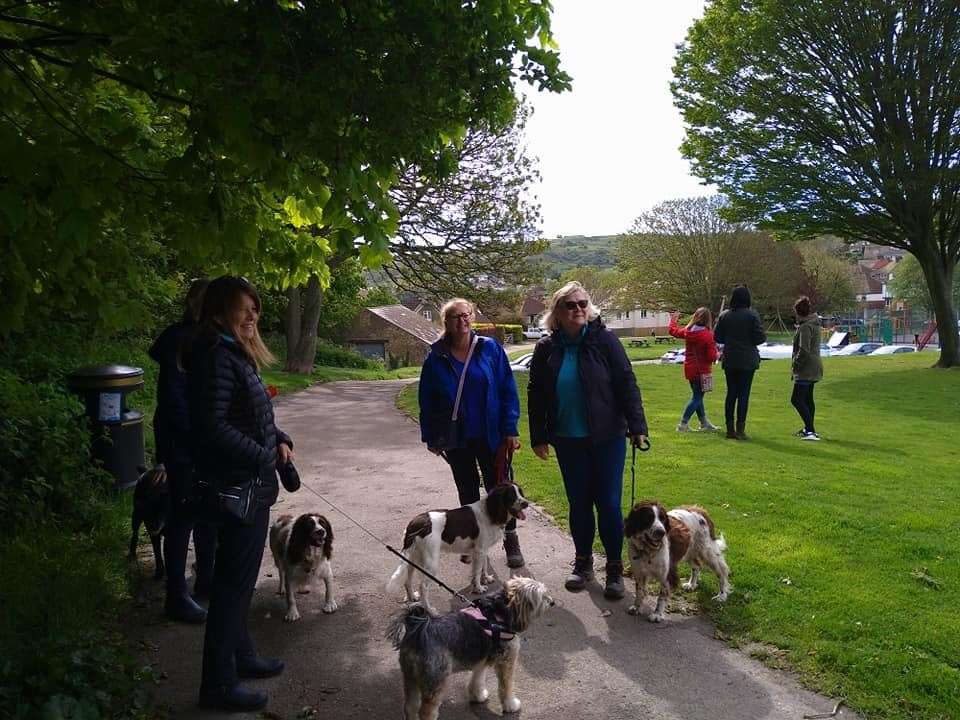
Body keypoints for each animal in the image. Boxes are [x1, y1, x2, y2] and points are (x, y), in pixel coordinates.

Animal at [386, 484, 528, 612]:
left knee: (407, 580)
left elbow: (484, 565)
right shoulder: (480, 550)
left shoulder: (482, 549)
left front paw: (486, 578)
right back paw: (429, 610)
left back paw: (412, 597)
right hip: (431, 563)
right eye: (511, 496)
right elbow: (477, 571)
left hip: (413, 558)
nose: (526, 503)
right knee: (423, 587)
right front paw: (479, 588)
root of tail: (414, 524)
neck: (490, 511)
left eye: (521, 492)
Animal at [388, 572, 556, 720]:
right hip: (434, 684)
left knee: (410, 707)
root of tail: (418, 629)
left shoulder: (481, 659)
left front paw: (478, 695)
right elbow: (506, 687)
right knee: (425, 712)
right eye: (541, 596)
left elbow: (477, 678)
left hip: (410, 678)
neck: (498, 612)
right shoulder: (506, 662)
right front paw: (511, 705)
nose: (552, 602)